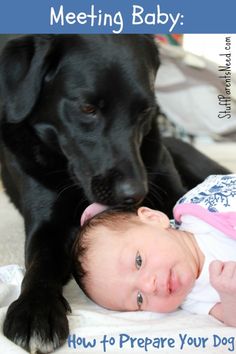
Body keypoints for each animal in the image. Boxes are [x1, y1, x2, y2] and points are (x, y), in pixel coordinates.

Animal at [0, 34, 229, 352]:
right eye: (87, 108)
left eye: (145, 110)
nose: (135, 193)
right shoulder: (46, 227)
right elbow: (40, 265)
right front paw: (35, 309)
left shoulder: (174, 194)